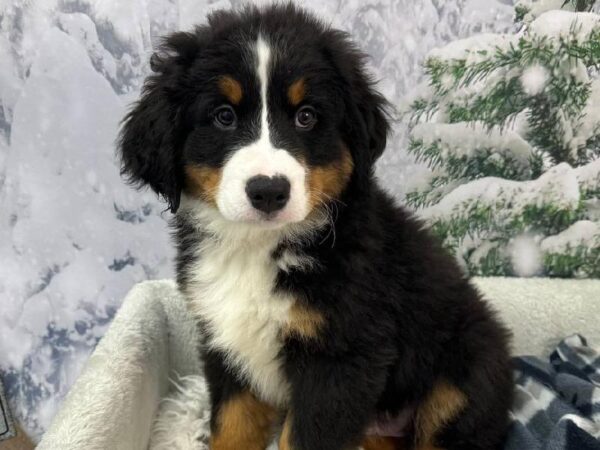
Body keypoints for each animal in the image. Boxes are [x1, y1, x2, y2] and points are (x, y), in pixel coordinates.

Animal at [117, 3, 510, 450]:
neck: (259, 247)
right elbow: (232, 427)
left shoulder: (339, 360)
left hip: (462, 380)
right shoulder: (226, 346)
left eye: (306, 116)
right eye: (223, 116)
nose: (268, 191)